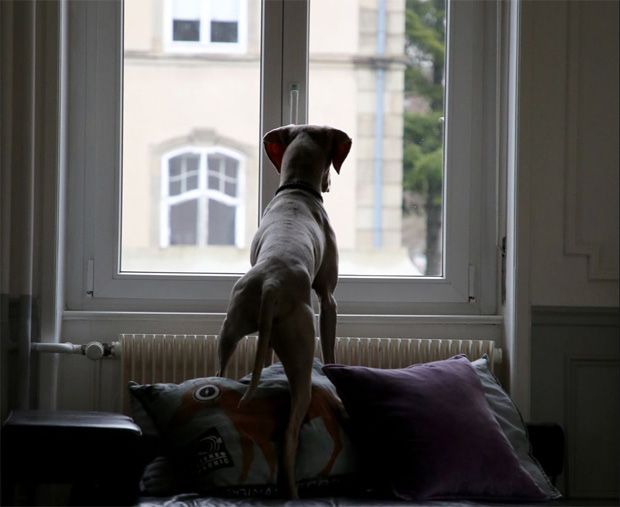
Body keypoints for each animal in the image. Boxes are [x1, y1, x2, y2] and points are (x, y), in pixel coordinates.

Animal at [217, 124, 354, 500]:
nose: (329, 185)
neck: (296, 191)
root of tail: (270, 286)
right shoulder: (328, 298)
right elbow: (331, 347)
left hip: (231, 328)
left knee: (221, 370)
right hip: (302, 351)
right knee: (292, 433)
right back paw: (292, 489)